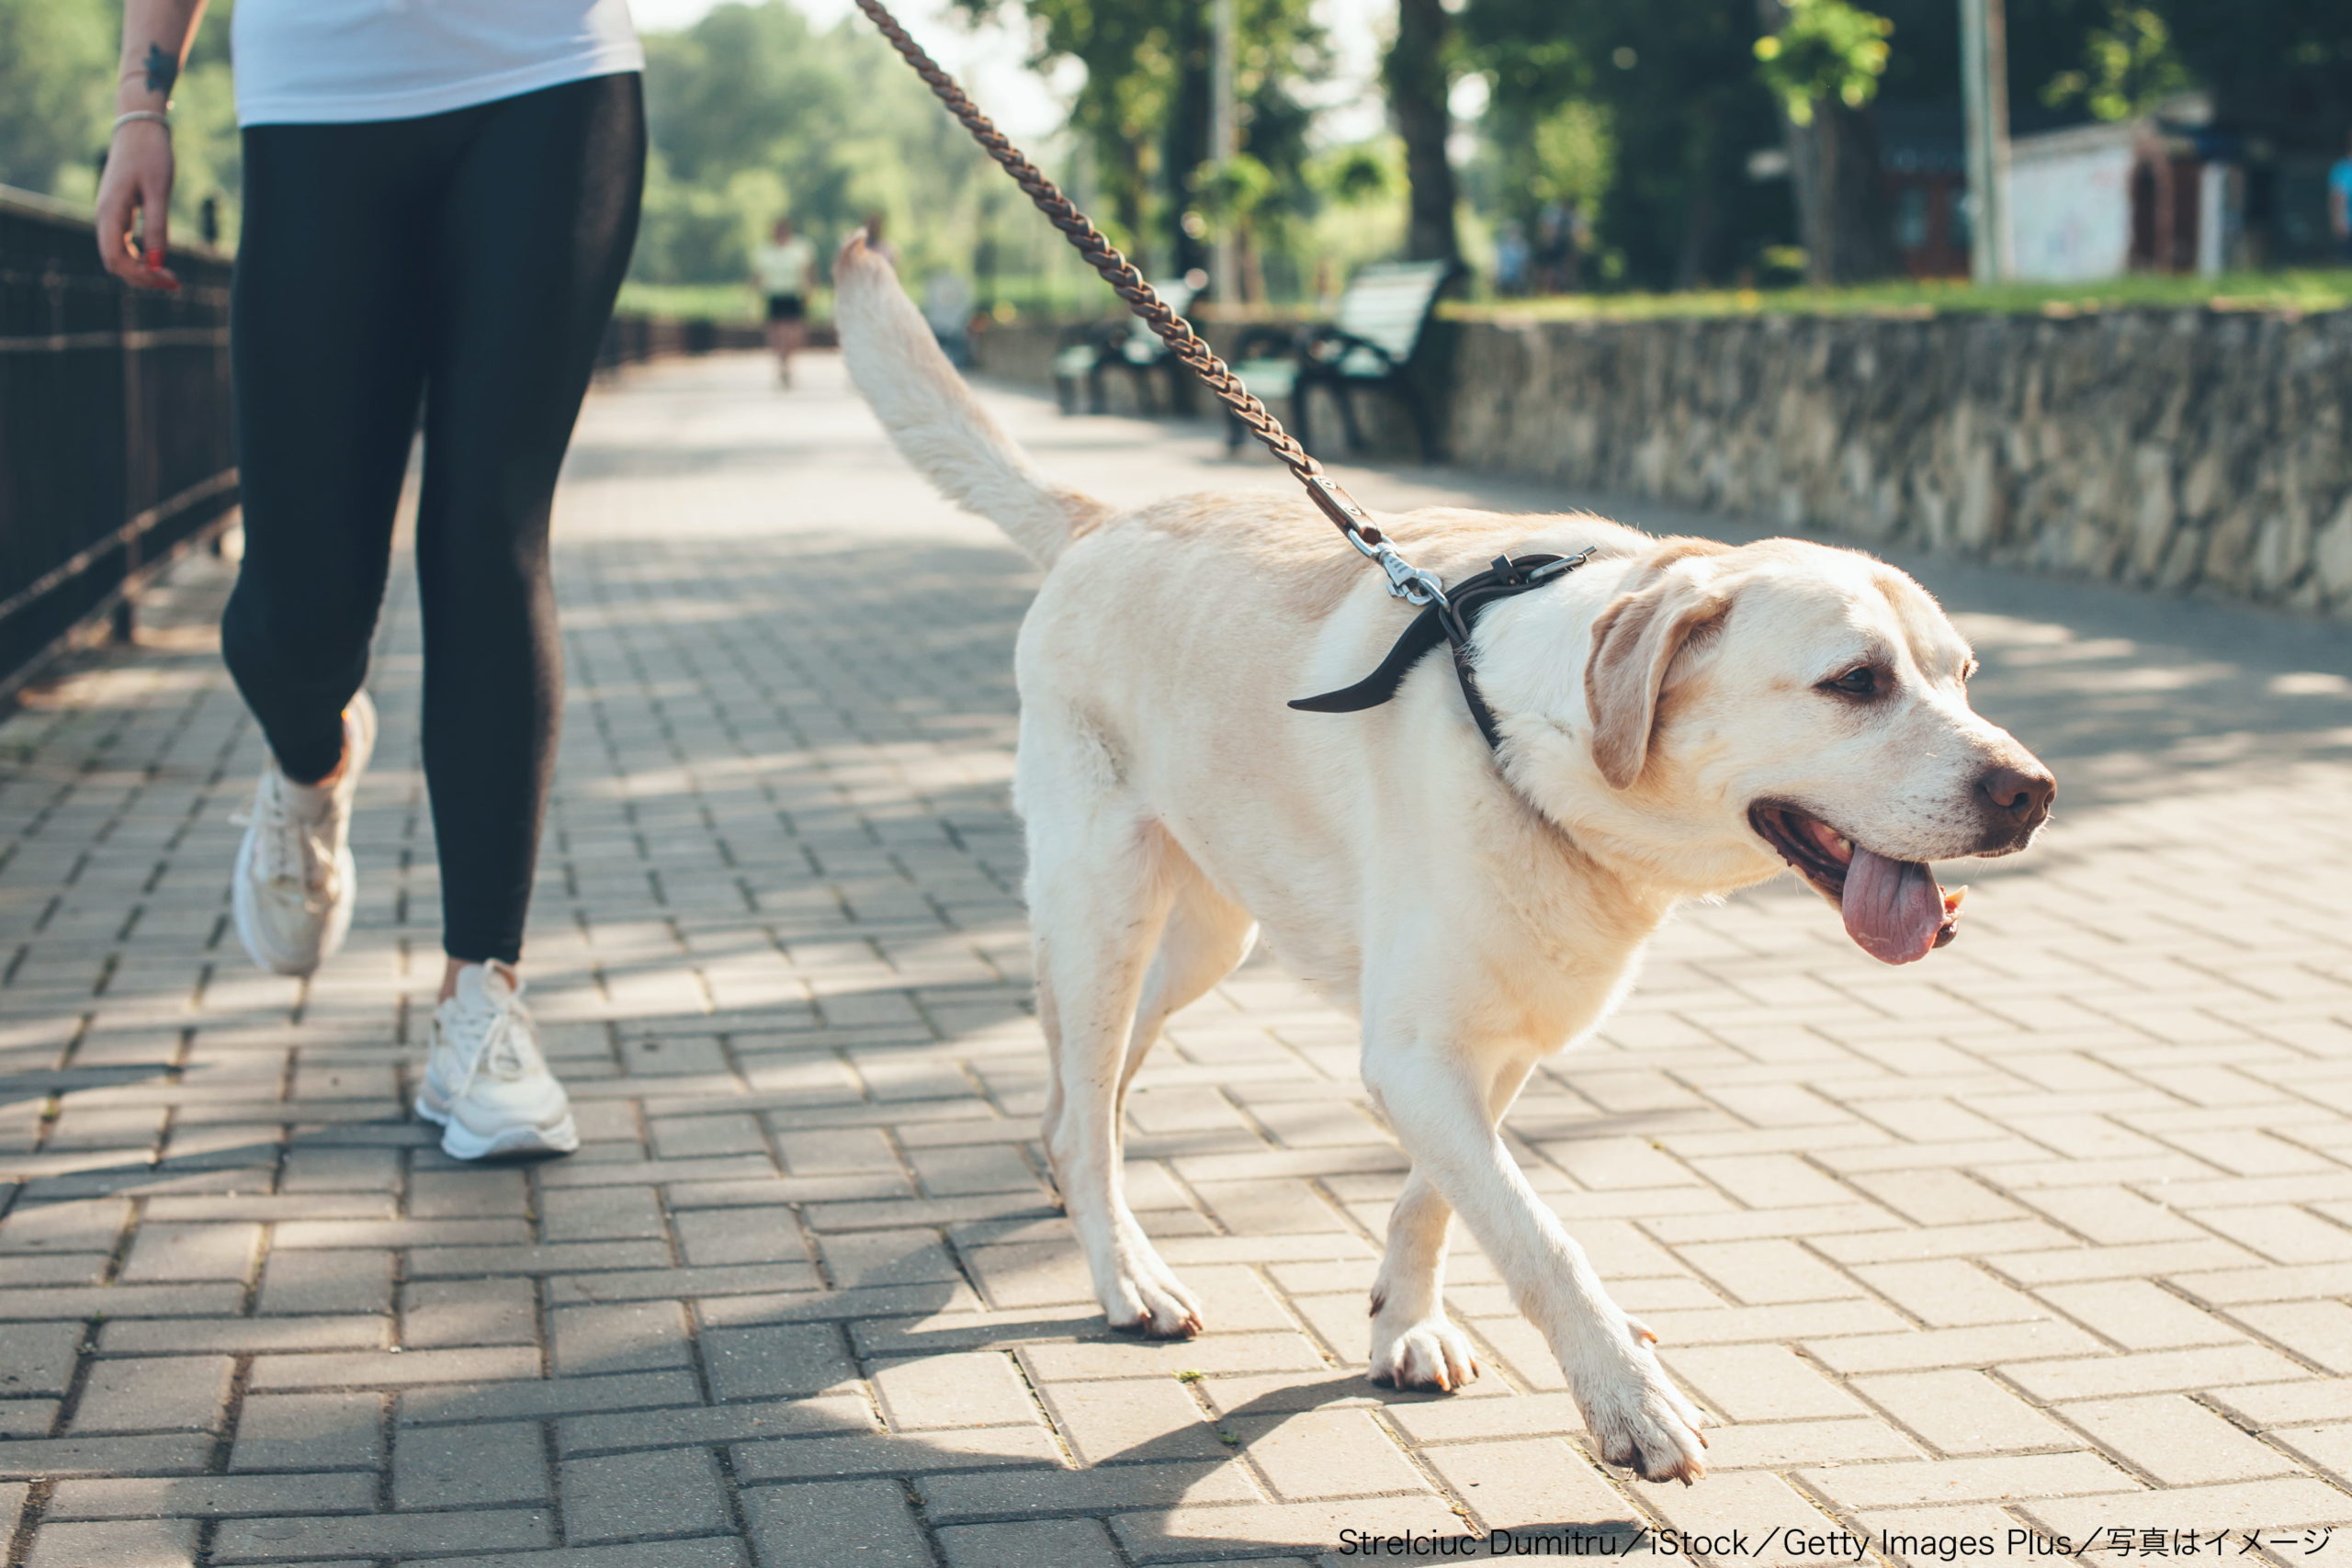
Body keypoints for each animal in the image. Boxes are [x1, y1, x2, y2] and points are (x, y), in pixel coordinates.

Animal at [837, 240, 2051, 1495]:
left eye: (1962, 675)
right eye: (1855, 681)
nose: (2030, 791)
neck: (1530, 736)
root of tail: (1100, 521)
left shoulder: (1494, 1038)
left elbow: (1442, 1200)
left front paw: (1403, 1323)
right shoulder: (1418, 1053)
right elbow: (1538, 1236)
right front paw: (1629, 1399)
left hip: (1208, 937)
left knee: (1087, 1089)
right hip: (1105, 907)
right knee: (1084, 1099)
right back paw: (1123, 1270)